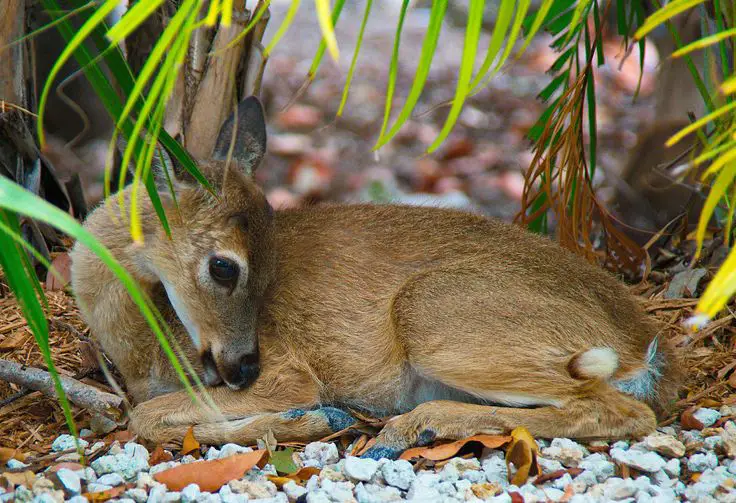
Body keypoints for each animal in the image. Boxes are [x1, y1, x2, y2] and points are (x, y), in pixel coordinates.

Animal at [72, 96, 680, 458]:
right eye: (225, 266)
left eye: (241, 267)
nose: (244, 367)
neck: (140, 343)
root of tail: (646, 345)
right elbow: (147, 414)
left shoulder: (290, 372)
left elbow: (147, 416)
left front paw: (313, 420)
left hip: (436, 315)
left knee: (626, 410)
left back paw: (413, 426)